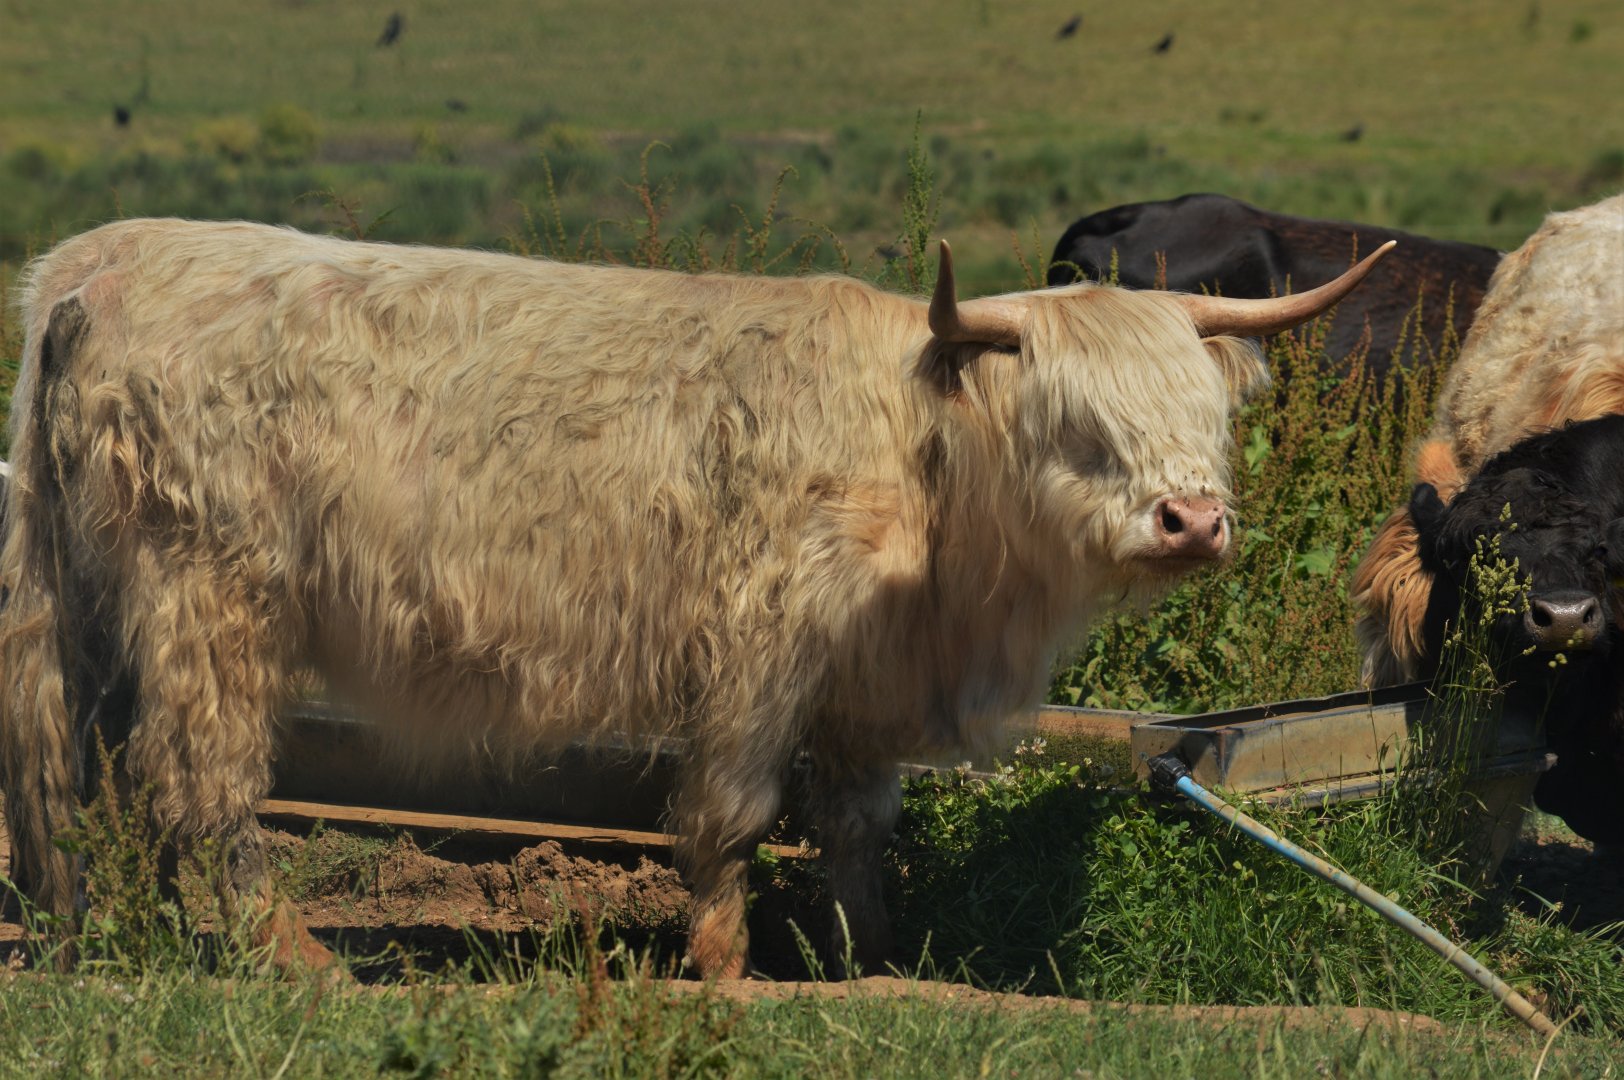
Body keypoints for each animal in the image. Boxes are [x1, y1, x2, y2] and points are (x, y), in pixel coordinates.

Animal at [0, 218, 1387, 977]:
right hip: (209, 599)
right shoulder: (757, 648)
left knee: (83, 774)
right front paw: (724, 969)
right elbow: (731, 818)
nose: (1191, 520)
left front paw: (869, 963)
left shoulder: (858, 692)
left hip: (90, 602)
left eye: (1207, 412)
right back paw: (286, 959)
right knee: (201, 784)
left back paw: (115, 938)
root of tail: (94, 268)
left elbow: (855, 834)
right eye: (1075, 420)